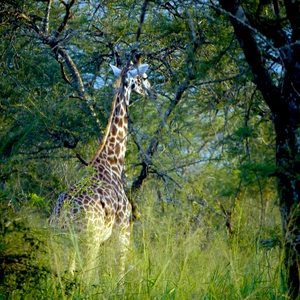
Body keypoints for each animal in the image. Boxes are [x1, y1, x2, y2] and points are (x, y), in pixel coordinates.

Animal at [49, 58, 152, 282]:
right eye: (145, 77)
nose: (150, 91)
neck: (112, 162)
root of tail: (64, 212)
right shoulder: (123, 232)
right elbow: (119, 275)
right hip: (89, 241)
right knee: (85, 278)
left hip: (60, 239)